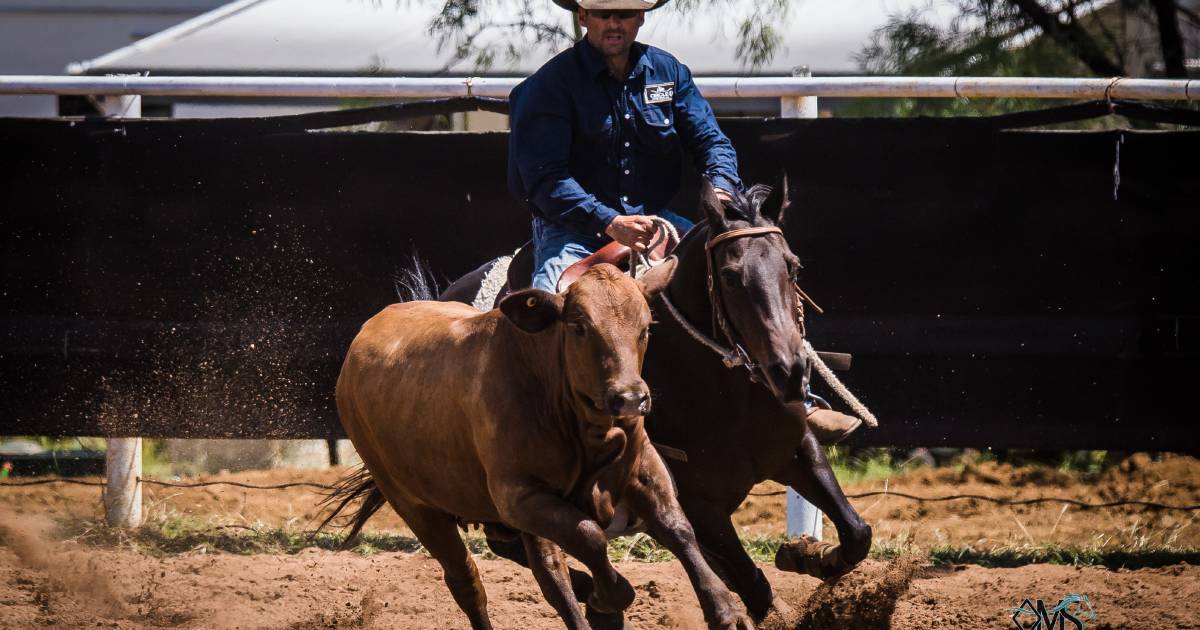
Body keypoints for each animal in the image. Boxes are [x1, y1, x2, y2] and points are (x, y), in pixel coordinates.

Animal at [328, 178, 873, 619]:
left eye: (793, 268)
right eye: (732, 275)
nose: (790, 371)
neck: (723, 394)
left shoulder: (796, 450)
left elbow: (855, 533)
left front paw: (807, 555)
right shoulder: (701, 505)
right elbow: (753, 584)